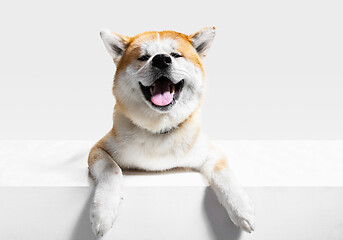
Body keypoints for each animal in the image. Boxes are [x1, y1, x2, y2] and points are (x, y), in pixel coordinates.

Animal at [88, 27, 255, 237]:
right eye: (144, 57)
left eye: (175, 55)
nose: (161, 59)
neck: (160, 130)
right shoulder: (98, 149)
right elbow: (112, 170)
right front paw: (102, 214)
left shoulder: (210, 152)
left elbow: (223, 173)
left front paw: (242, 208)